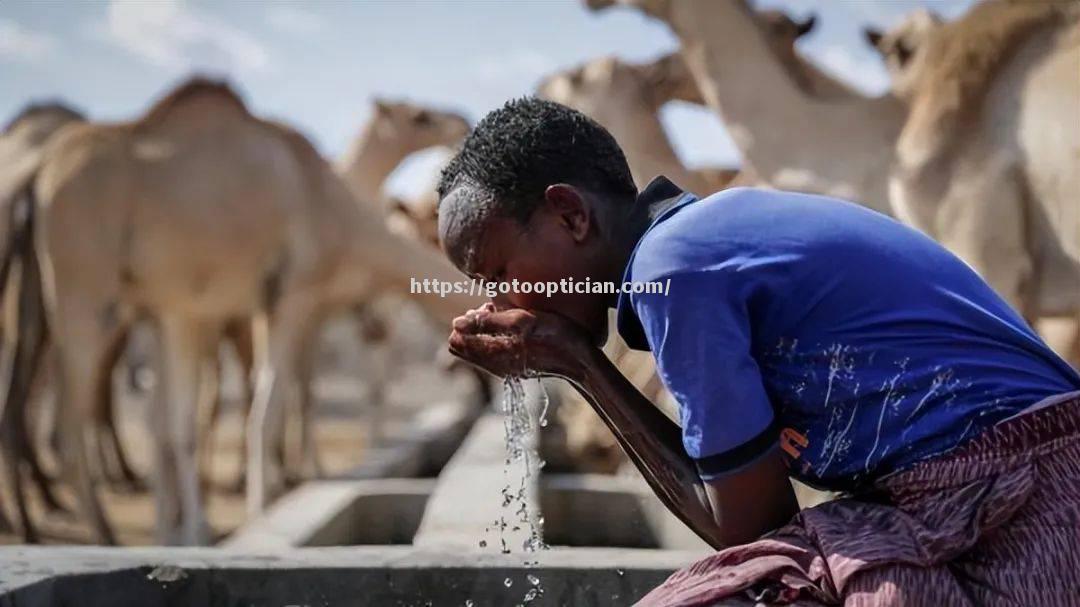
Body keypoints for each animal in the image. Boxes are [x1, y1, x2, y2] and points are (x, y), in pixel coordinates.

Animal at [7, 76, 481, 544]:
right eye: (419, 115)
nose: (461, 120)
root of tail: (38, 176)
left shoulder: (194, 310)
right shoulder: (288, 299)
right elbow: (268, 407)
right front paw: (262, 508)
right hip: (83, 294)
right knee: (67, 427)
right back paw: (107, 535)